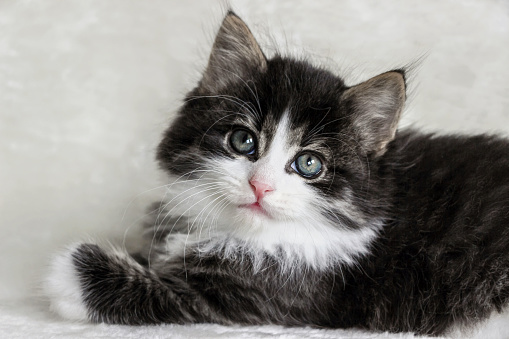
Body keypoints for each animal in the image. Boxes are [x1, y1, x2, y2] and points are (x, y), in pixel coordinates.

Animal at [42, 11, 508, 338]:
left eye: (309, 164)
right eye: (243, 141)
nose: (259, 185)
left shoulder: (256, 298)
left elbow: (151, 288)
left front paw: (63, 273)